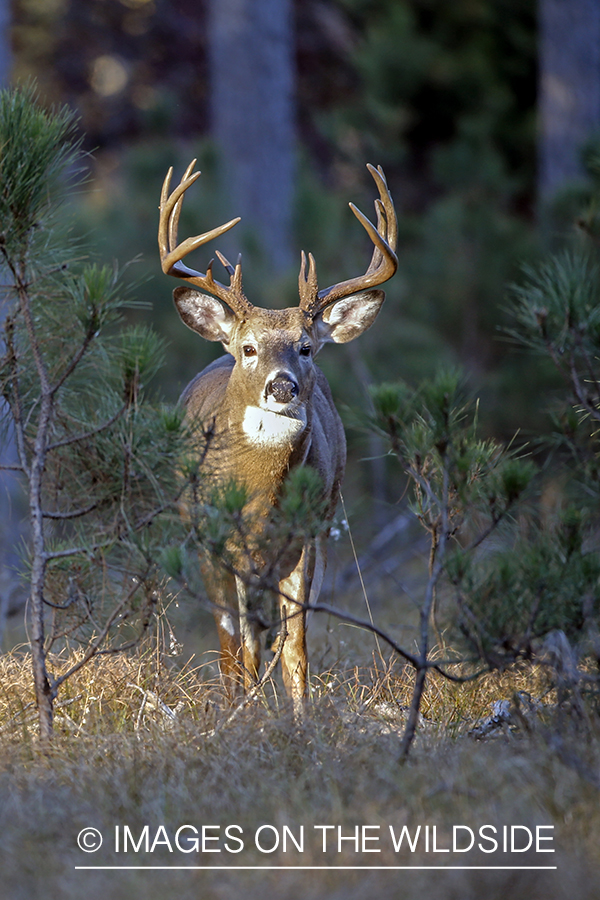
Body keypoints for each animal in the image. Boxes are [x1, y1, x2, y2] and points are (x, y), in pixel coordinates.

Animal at [158, 158, 398, 712]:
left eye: (306, 347)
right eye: (248, 348)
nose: (282, 385)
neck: (259, 497)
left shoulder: (305, 537)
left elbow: (296, 645)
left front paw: (300, 718)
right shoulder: (215, 539)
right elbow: (234, 643)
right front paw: (241, 713)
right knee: (239, 637)